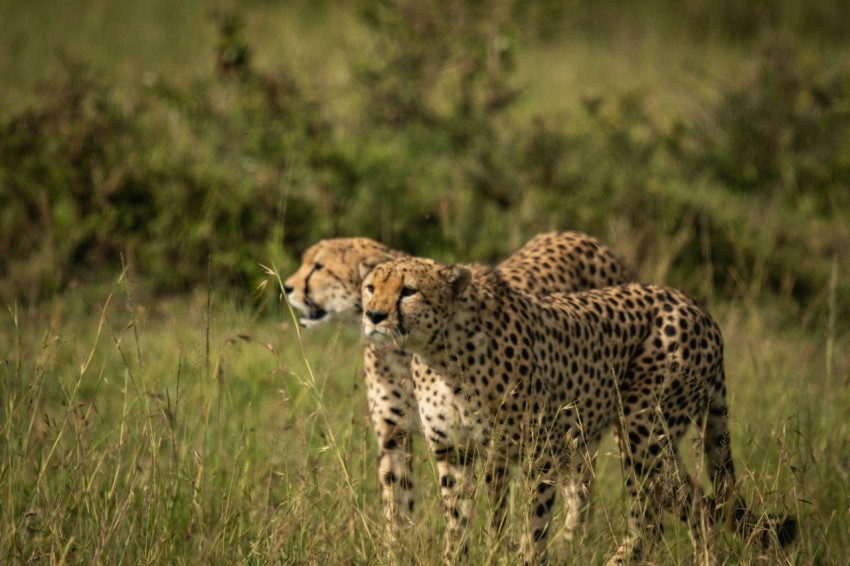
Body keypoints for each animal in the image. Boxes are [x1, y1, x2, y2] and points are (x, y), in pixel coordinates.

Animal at [282, 233, 628, 540]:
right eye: (370, 288)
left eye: (319, 266)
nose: (287, 287)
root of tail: (584, 238)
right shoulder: (396, 433)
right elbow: (397, 506)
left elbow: (497, 514)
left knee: (579, 492)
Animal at [360, 258, 796, 566]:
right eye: (370, 288)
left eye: (409, 291)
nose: (374, 315)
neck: (441, 353)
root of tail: (697, 307)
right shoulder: (456, 453)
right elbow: (458, 522)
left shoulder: (539, 451)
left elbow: (533, 526)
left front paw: (529, 558)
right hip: (655, 439)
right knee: (697, 504)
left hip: (642, 431)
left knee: (651, 517)